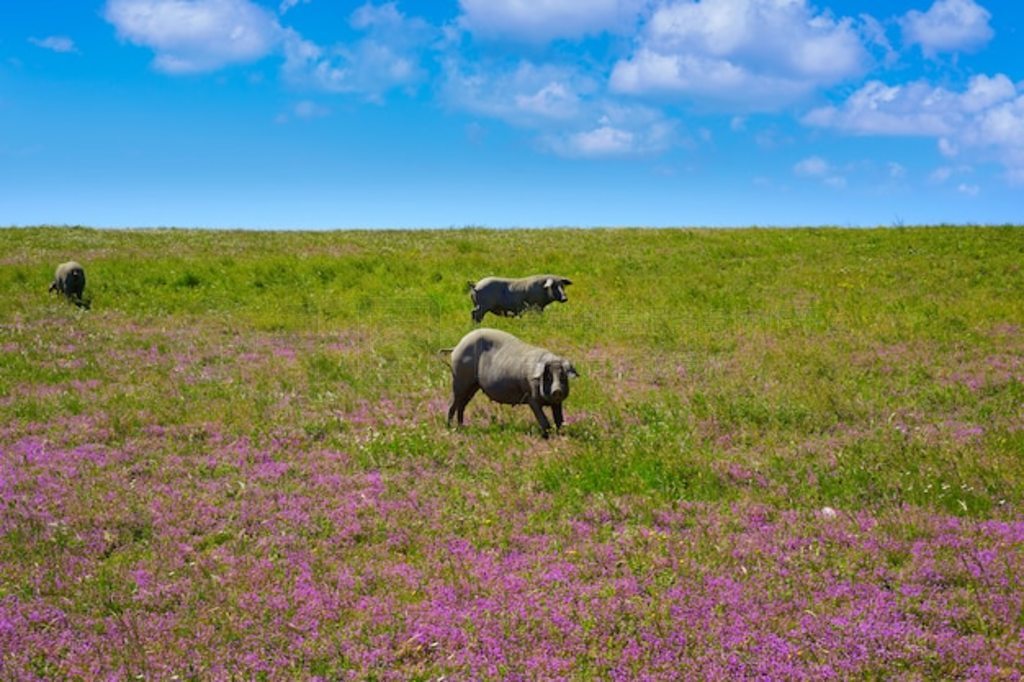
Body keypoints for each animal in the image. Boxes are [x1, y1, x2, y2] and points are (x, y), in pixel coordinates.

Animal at [446, 327, 581, 436]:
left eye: (563, 376)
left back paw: (461, 427)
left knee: (462, 406)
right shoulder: (531, 398)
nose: (557, 390)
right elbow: (544, 421)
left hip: (473, 386)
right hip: (459, 380)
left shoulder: (557, 403)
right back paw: (450, 428)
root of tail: (457, 346)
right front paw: (547, 437)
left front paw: (561, 435)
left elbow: (559, 421)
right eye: (548, 377)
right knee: (453, 405)